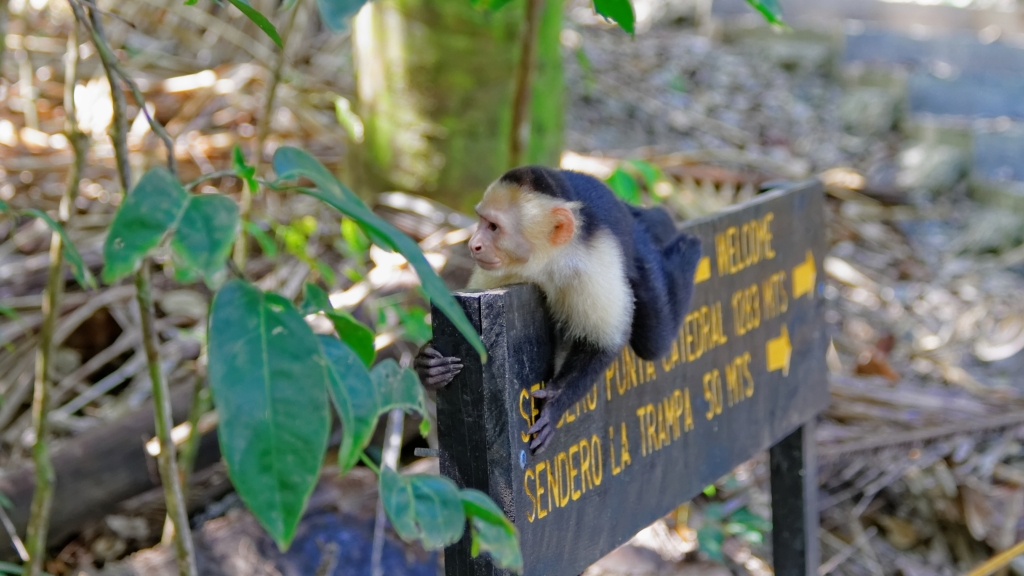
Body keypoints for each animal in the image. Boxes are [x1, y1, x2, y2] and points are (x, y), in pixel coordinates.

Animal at [415, 166, 702, 453]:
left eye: (494, 227)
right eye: (481, 220)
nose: (473, 244)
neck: (547, 260)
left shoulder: (590, 265)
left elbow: (603, 342)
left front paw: (554, 404)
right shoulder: (503, 274)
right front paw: (428, 366)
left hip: (638, 246)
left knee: (654, 342)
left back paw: (686, 248)